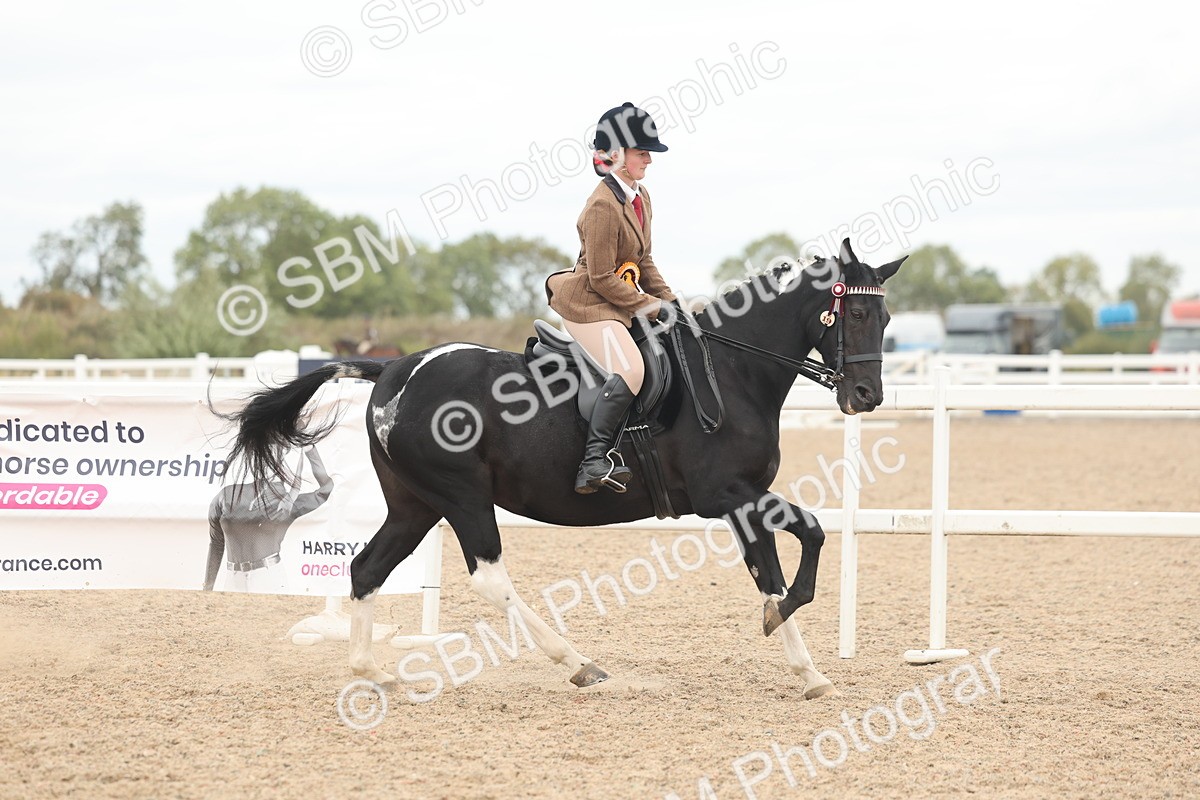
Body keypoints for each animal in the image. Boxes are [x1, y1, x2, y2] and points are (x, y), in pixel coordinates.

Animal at [225, 239, 903, 700]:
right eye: (854, 316)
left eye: (887, 319)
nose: (866, 396)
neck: (735, 372)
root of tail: (396, 367)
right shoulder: (725, 494)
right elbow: (811, 533)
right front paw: (786, 626)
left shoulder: (746, 498)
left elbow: (770, 571)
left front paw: (806, 668)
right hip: (461, 496)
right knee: (489, 576)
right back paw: (578, 663)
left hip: (416, 504)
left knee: (367, 567)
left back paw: (372, 672)